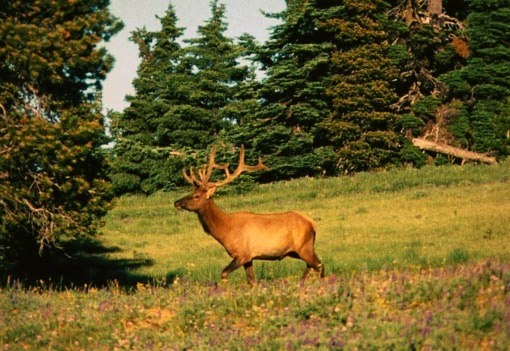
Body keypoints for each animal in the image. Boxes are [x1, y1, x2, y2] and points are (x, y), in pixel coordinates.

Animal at [172, 146, 322, 286]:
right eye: (191, 192)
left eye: (196, 196)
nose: (176, 202)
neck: (225, 230)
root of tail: (312, 223)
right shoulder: (249, 258)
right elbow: (251, 281)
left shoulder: (242, 254)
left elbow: (224, 273)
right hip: (297, 251)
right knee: (312, 266)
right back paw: (301, 284)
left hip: (304, 247)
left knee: (319, 265)